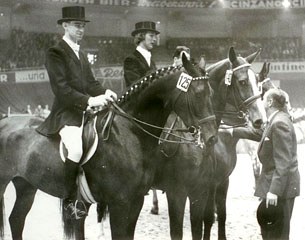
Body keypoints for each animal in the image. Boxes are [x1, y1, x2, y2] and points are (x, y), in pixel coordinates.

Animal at [0, 55, 216, 240]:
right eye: (197, 94)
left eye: (211, 93)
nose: (212, 138)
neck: (130, 133)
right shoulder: (120, 203)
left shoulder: (136, 201)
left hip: (26, 185)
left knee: (16, 219)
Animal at [151, 47, 264, 240]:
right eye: (242, 82)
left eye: (257, 81)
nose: (260, 121)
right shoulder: (189, 189)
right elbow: (206, 218)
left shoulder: (218, 182)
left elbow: (215, 217)